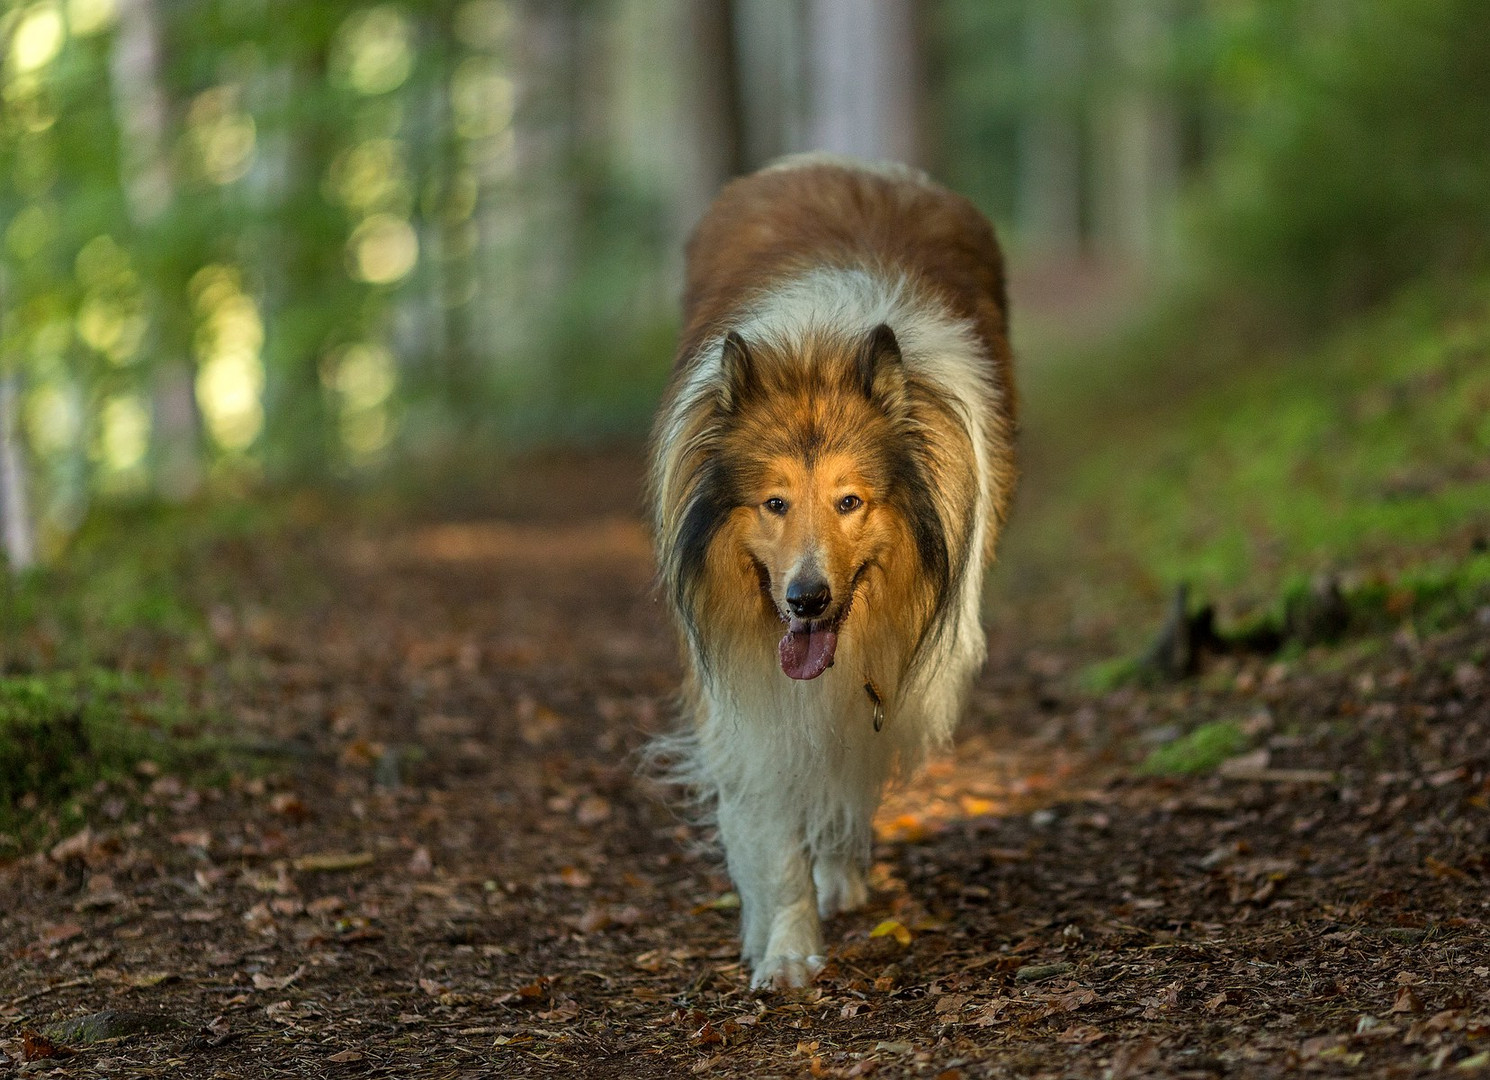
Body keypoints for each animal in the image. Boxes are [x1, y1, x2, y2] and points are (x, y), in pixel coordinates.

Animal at [646, 155, 1019, 989]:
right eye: (774, 502)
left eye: (850, 501)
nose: (807, 600)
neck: (821, 345)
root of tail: (844, 162)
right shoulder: (739, 686)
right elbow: (769, 819)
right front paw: (783, 945)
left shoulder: (892, 673)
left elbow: (847, 775)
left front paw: (834, 880)